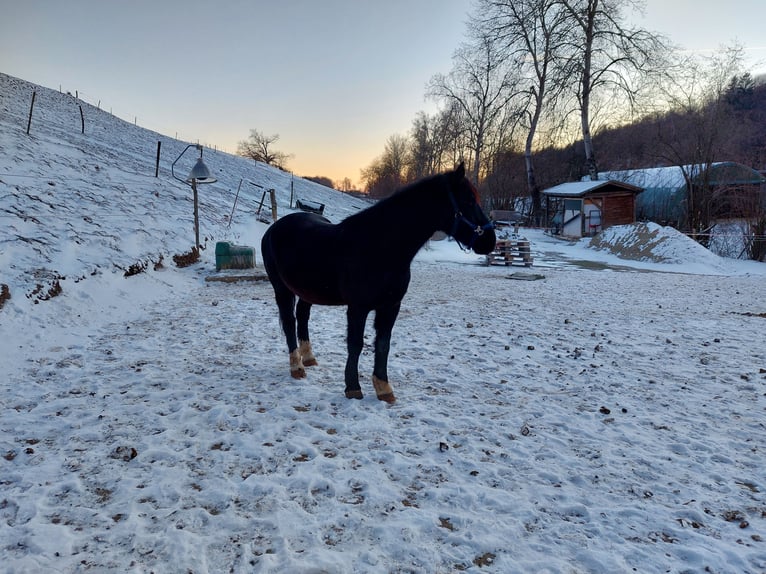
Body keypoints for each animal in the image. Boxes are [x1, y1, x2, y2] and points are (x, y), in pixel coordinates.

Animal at [260, 162, 496, 403]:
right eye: (468, 200)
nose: (490, 240)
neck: (379, 247)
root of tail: (273, 229)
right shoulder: (358, 308)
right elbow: (355, 344)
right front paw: (353, 388)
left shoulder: (390, 306)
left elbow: (383, 344)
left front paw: (383, 388)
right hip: (282, 288)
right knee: (289, 322)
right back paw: (297, 366)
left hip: (308, 290)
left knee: (302, 316)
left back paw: (308, 358)